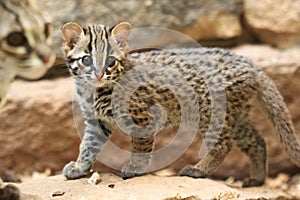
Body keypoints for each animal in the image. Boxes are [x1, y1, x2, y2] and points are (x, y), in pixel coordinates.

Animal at [61, 21, 300, 187]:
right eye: (86, 59)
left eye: (110, 61)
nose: (99, 74)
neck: (94, 91)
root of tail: (250, 64)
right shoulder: (97, 121)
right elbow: (88, 145)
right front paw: (80, 167)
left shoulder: (144, 117)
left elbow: (140, 145)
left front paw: (136, 168)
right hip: (237, 116)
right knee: (258, 141)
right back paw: (257, 179)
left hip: (210, 111)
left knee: (223, 144)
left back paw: (198, 170)